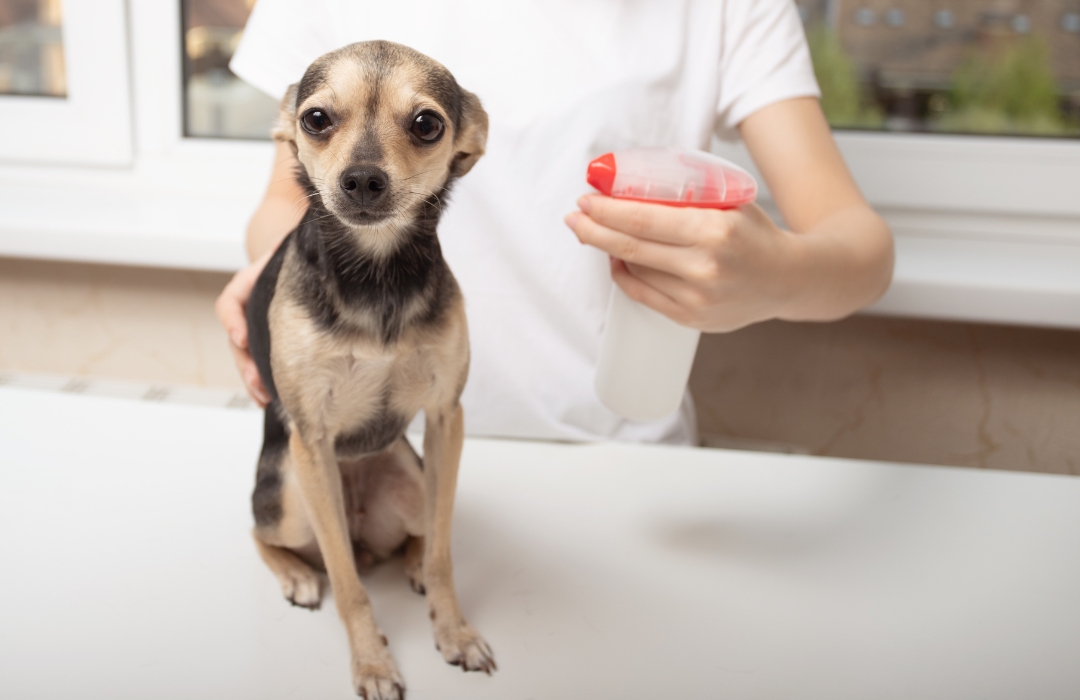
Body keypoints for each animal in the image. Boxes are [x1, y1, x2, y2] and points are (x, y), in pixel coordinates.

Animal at [246, 41, 494, 695]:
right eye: (315, 119)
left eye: (427, 124)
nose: (361, 178)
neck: (376, 272)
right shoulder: (311, 440)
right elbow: (350, 587)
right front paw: (373, 662)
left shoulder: (445, 417)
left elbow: (443, 551)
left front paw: (453, 630)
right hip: (290, 496)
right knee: (269, 535)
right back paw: (296, 574)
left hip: (411, 479)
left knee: (423, 530)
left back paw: (409, 563)